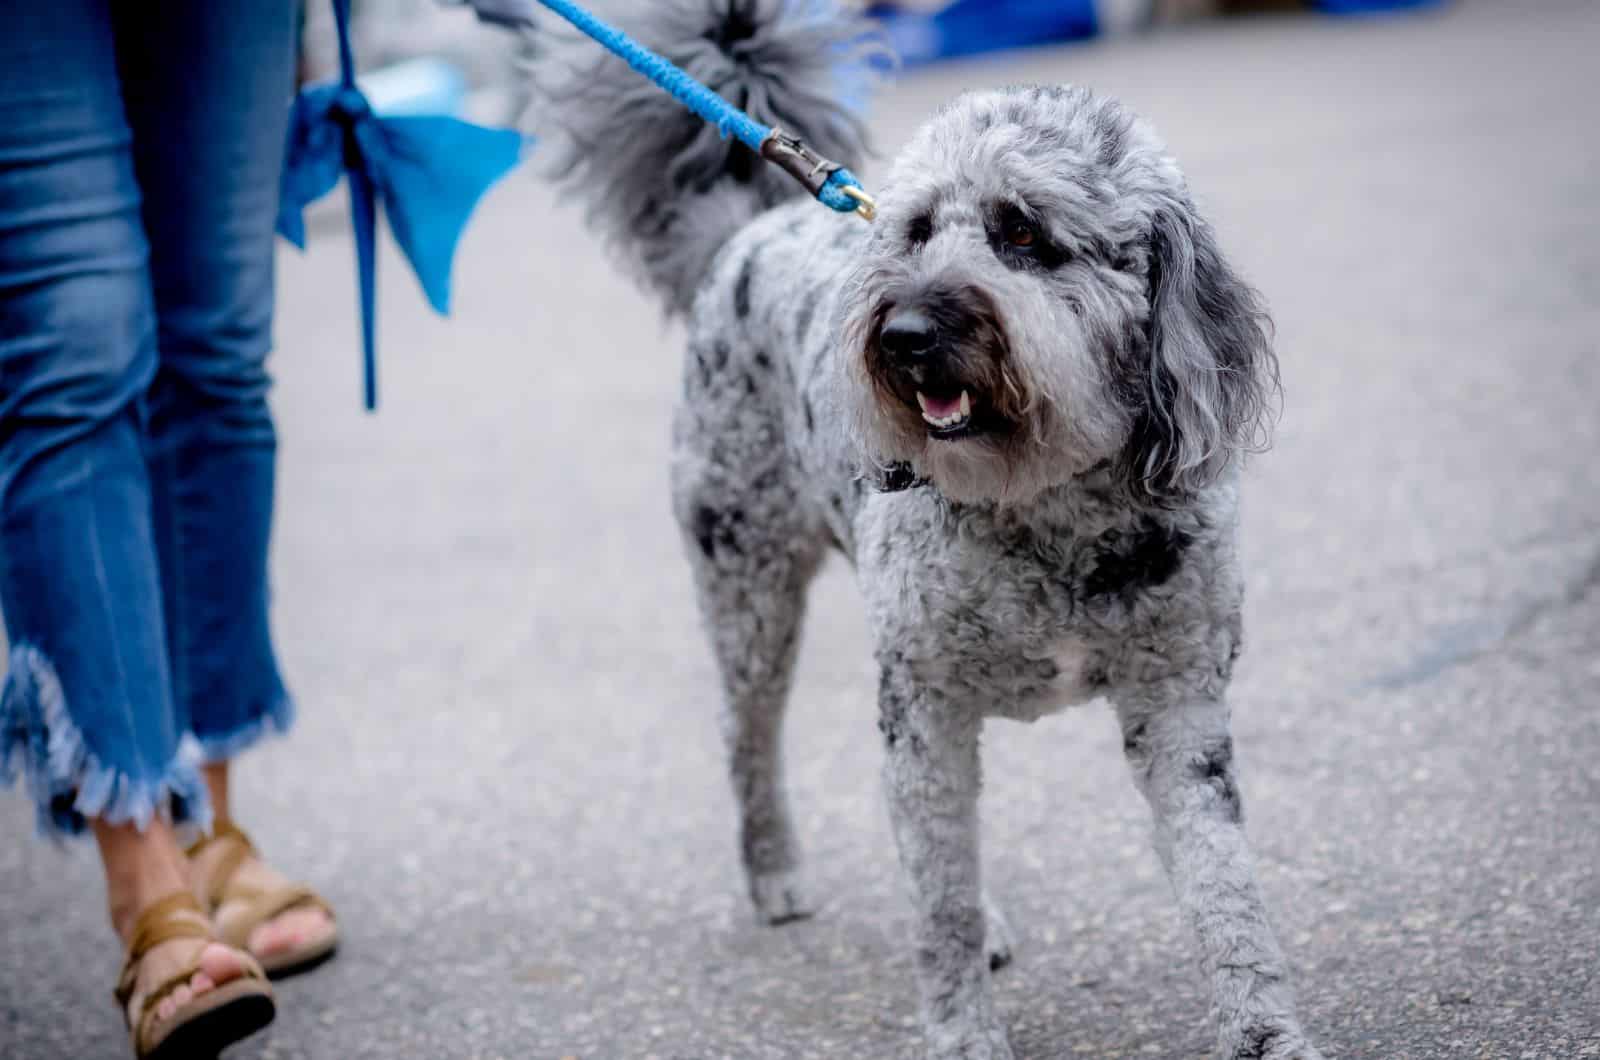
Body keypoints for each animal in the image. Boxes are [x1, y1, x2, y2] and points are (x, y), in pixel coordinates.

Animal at [537, 4, 1324, 1056]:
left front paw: (1267, 1034)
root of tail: (748, 234)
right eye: (913, 232)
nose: (905, 335)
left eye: (1022, 230)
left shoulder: (1180, 704)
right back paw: (774, 872)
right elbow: (939, 901)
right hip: (747, 590)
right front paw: (963, 1035)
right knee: (749, 737)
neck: (1046, 509)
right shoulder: (922, 707)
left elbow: (1225, 889)